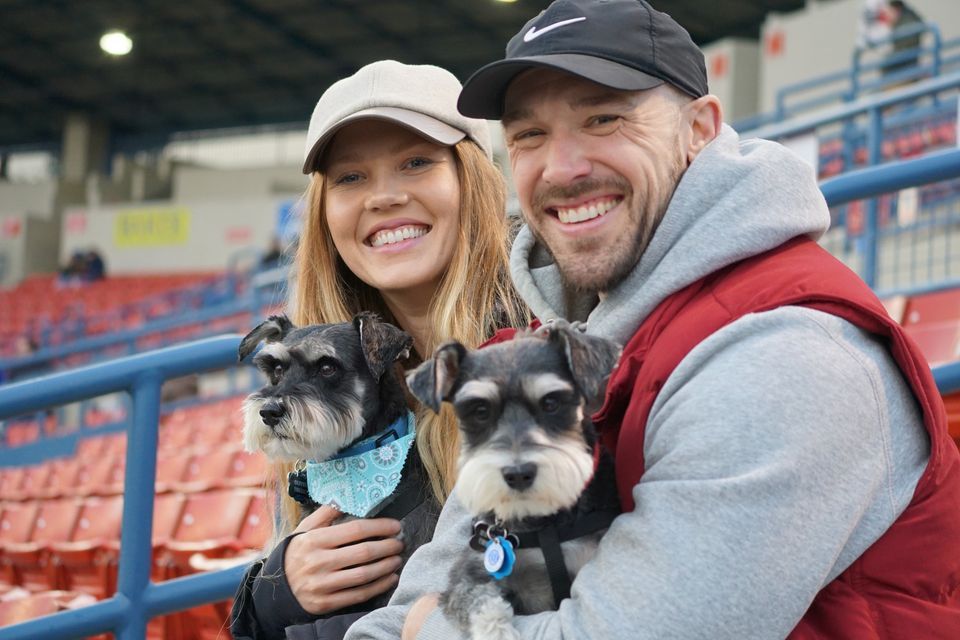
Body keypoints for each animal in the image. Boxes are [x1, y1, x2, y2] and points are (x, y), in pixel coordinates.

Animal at [406, 322, 624, 636]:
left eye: (551, 403)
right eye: (480, 411)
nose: (518, 474)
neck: (544, 524)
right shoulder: (467, 577)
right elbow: (481, 600)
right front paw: (497, 631)